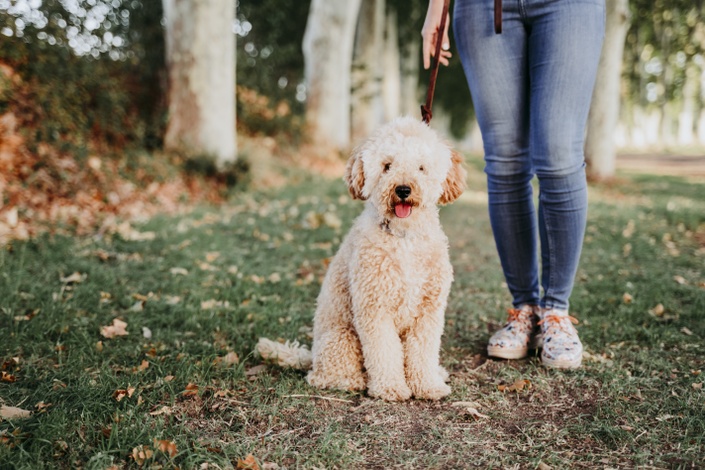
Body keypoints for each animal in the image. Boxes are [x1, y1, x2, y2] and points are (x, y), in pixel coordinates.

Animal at [300, 116, 464, 400]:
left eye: (421, 167)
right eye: (387, 166)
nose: (403, 189)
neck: (404, 237)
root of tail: (311, 357)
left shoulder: (428, 311)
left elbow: (423, 352)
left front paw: (428, 385)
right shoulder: (375, 308)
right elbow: (384, 352)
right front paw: (391, 387)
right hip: (342, 339)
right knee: (321, 377)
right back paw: (356, 381)